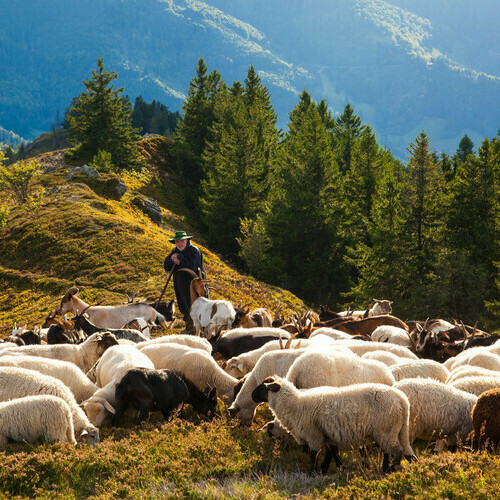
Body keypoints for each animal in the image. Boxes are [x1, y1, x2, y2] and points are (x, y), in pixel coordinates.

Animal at [254, 376, 414, 474]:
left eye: (263, 387)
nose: (252, 396)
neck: (296, 404)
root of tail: (403, 400)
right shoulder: (327, 435)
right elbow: (332, 453)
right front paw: (331, 469)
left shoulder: (313, 434)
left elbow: (314, 454)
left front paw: (312, 473)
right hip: (397, 430)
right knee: (401, 451)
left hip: (386, 430)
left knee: (396, 451)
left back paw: (390, 470)